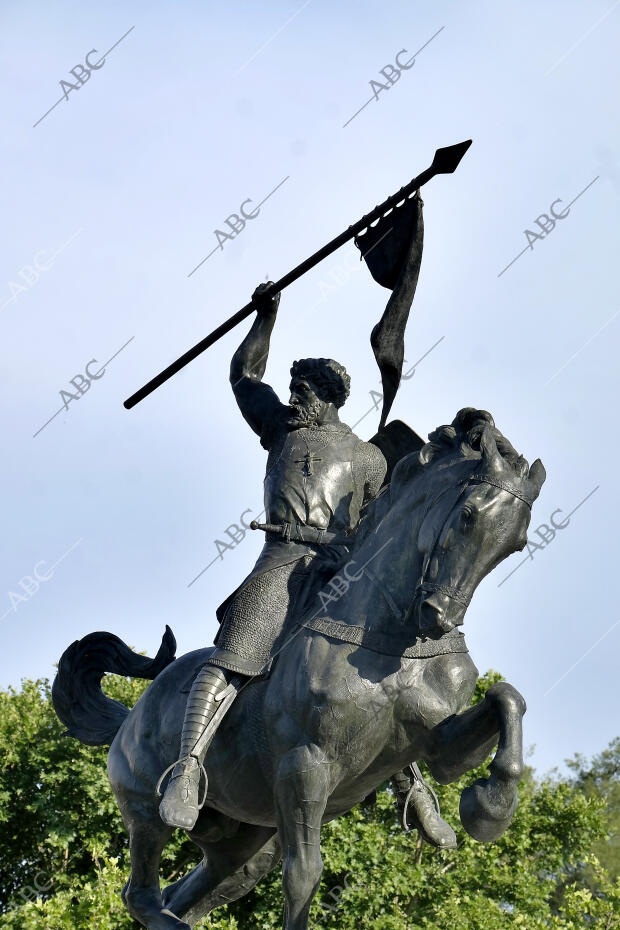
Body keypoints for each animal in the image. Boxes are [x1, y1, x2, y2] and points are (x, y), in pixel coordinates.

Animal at [54, 408, 548, 928]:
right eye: (468, 514)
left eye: (516, 544)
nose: (439, 617)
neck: (389, 641)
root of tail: (129, 718)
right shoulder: (304, 764)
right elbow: (304, 874)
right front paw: (488, 805)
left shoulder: (440, 746)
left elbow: (506, 699)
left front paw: (489, 807)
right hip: (147, 810)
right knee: (143, 894)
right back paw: (180, 800)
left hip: (244, 841)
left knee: (190, 891)